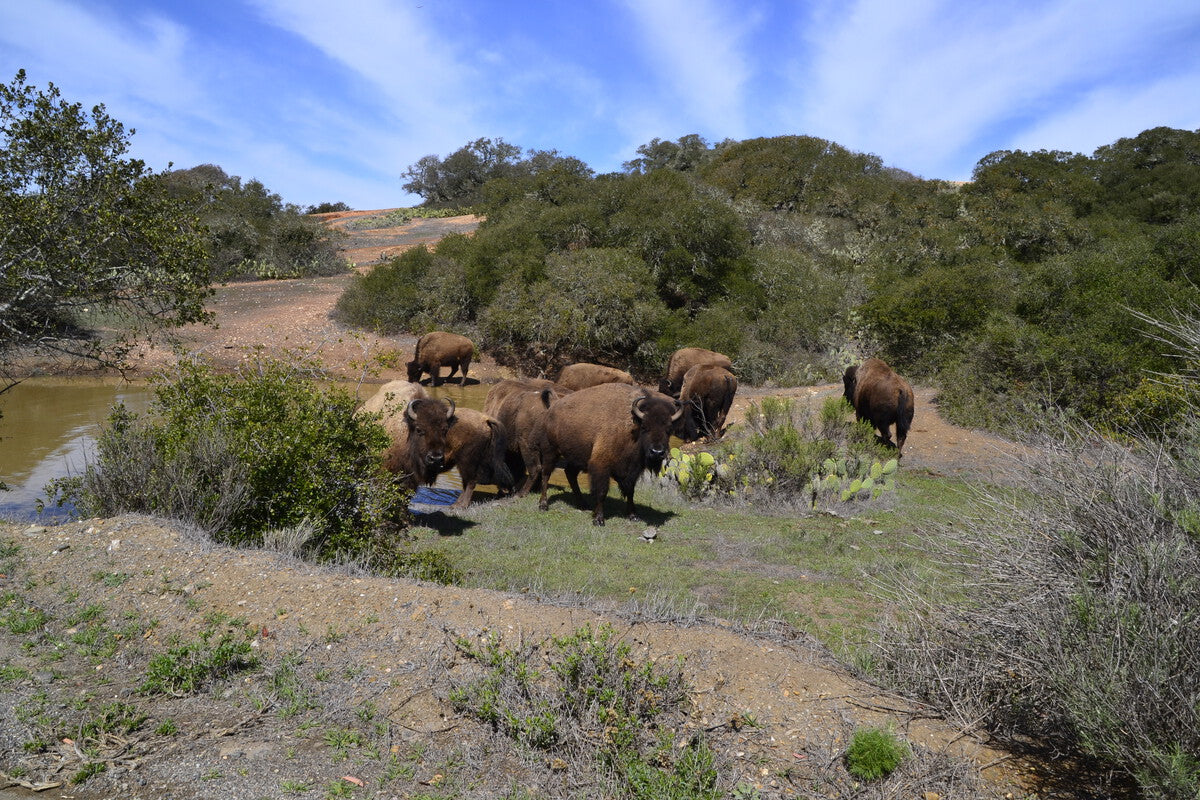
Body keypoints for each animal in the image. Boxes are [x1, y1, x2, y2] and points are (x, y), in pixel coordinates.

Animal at [537, 383, 683, 526]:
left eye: (669, 430)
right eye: (645, 427)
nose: (657, 452)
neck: (631, 429)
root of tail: (554, 405)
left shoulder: (632, 471)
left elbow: (630, 491)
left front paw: (633, 515)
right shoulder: (601, 466)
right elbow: (602, 492)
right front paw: (599, 519)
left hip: (577, 458)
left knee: (570, 474)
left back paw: (583, 504)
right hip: (550, 452)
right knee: (546, 474)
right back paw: (543, 505)